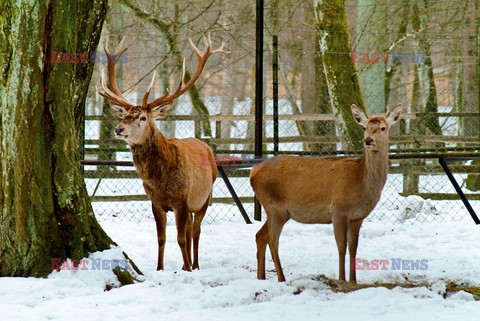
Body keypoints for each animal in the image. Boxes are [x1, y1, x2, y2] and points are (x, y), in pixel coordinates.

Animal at [96, 34, 226, 270]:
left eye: (142, 117)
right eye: (125, 115)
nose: (118, 129)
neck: (161, 181)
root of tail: (206, 146)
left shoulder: (182, 200)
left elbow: (181, 238)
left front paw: (187, 268)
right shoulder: (155, 202)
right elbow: (161, 238)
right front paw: (160, 268)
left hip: (205, 196)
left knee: (196, 230)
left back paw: (195, 264)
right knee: (191, 228)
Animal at [249, 104, 404, 282]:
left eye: (383, 128)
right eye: (365, 127)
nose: (368, 140)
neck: (360, 181)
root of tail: (253, 172)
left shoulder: (357, 217)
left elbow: (353, 248)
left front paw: (353, 281)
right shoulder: (338, 210)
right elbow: (341, 247)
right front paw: (342, 279)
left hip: (277, 211)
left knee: (260, 235)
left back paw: (261, 277)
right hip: (275, 207)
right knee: (272, 239)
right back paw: (282, 278)